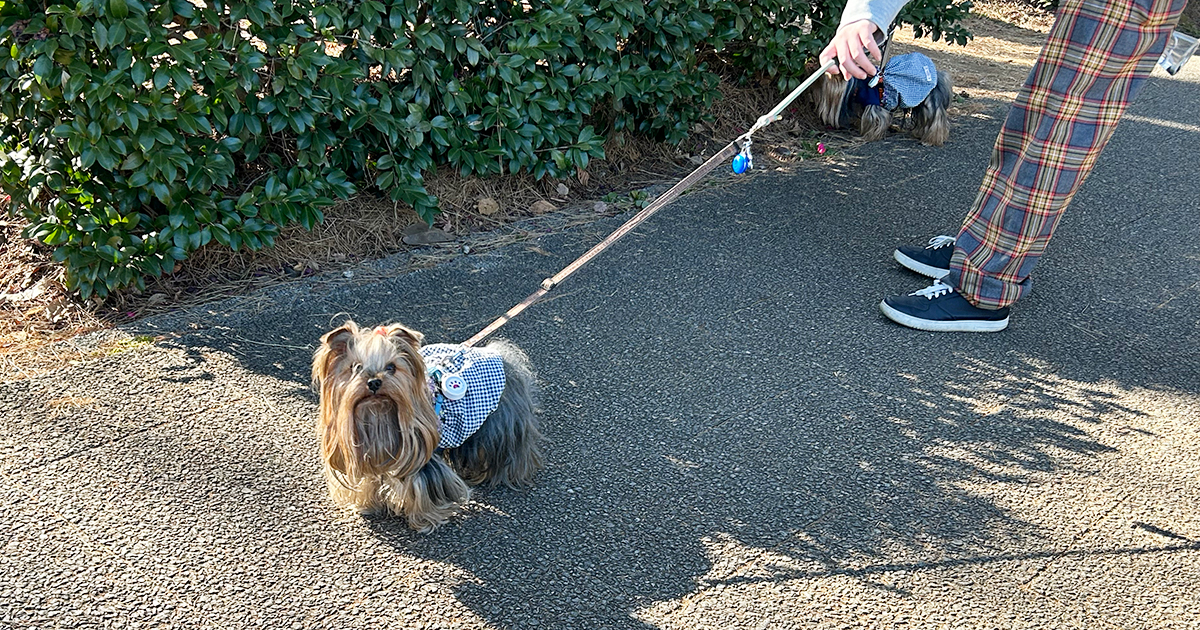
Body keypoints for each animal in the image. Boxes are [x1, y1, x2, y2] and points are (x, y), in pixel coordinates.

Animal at [314, 319, 549, 530]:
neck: (378, 414)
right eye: (355, 367)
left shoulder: (421, 459)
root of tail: (500, 355)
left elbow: (424, 489)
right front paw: (367, 506)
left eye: (391, 367)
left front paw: (426, 520)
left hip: (498, 424)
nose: (374, 382)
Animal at [811, 51, 950, 146]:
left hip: (927, 100)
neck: (857, 85)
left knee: (935, 118)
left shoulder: (874, 104)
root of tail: (938, 77)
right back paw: (919, 134)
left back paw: (932, 140)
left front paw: (867, 137)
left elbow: (874, 120)